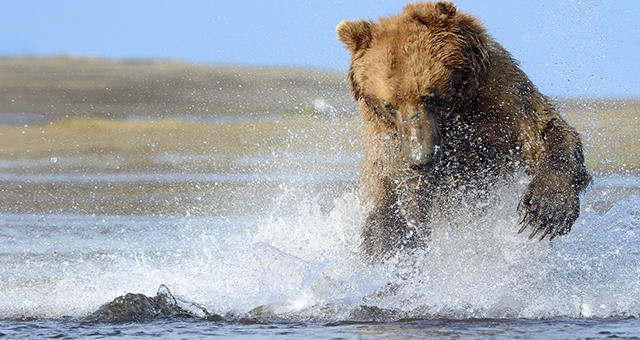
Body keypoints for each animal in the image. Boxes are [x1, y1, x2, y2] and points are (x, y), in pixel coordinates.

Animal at [338, 1, 592, 258]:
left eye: (429, 97)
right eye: (389, 105)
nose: (420, 159)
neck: (456, 114)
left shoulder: (500, 97)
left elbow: (543, 131)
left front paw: (545, 210)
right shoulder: (388, 139)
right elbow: (404, 195)